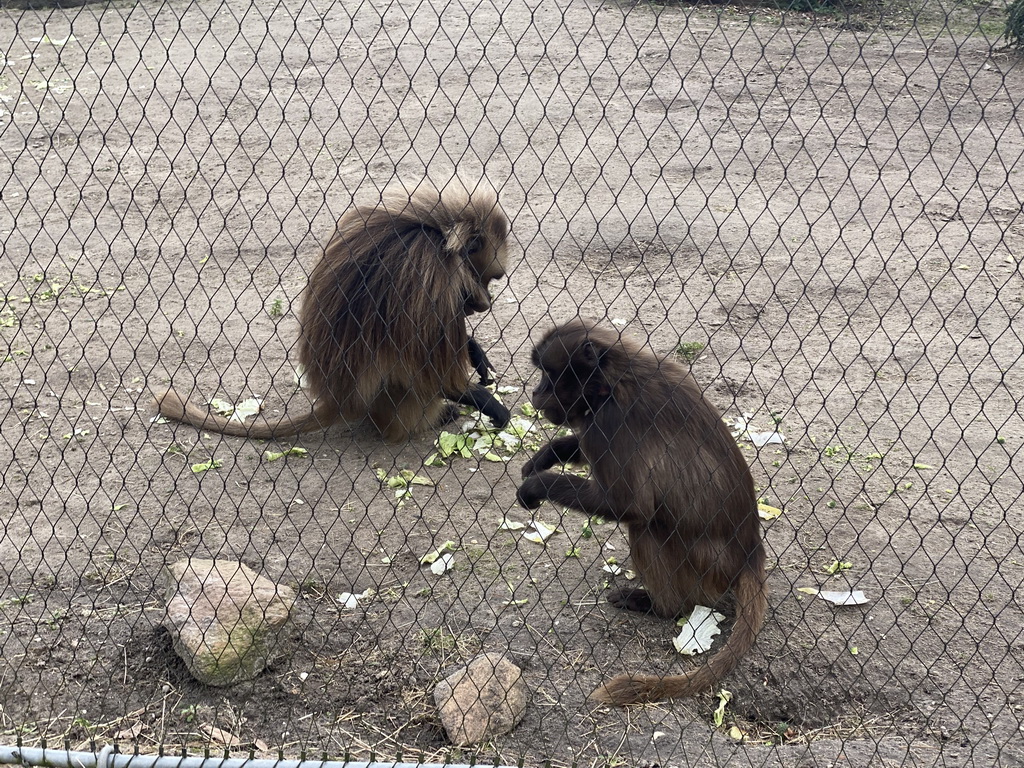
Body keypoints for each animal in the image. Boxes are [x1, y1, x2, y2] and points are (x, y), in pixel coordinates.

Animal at [152, 180, 512, 442]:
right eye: (489, 278)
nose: (485, 304)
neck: (439, 237)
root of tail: (340, 400)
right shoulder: (431, 278)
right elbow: (430, 370)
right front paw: (485, 401)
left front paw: (475, 353)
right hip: (391, 400)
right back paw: (433, 419)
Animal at [516, 321, 765, 708]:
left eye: (548, 373)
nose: (537, 390)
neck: (612, 380)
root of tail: (751, 553)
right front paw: (546, 455)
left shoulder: (608, 422)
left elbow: (628, 505)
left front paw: (537, 485)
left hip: (706, 570)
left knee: (646, 526)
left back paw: (662, 607)